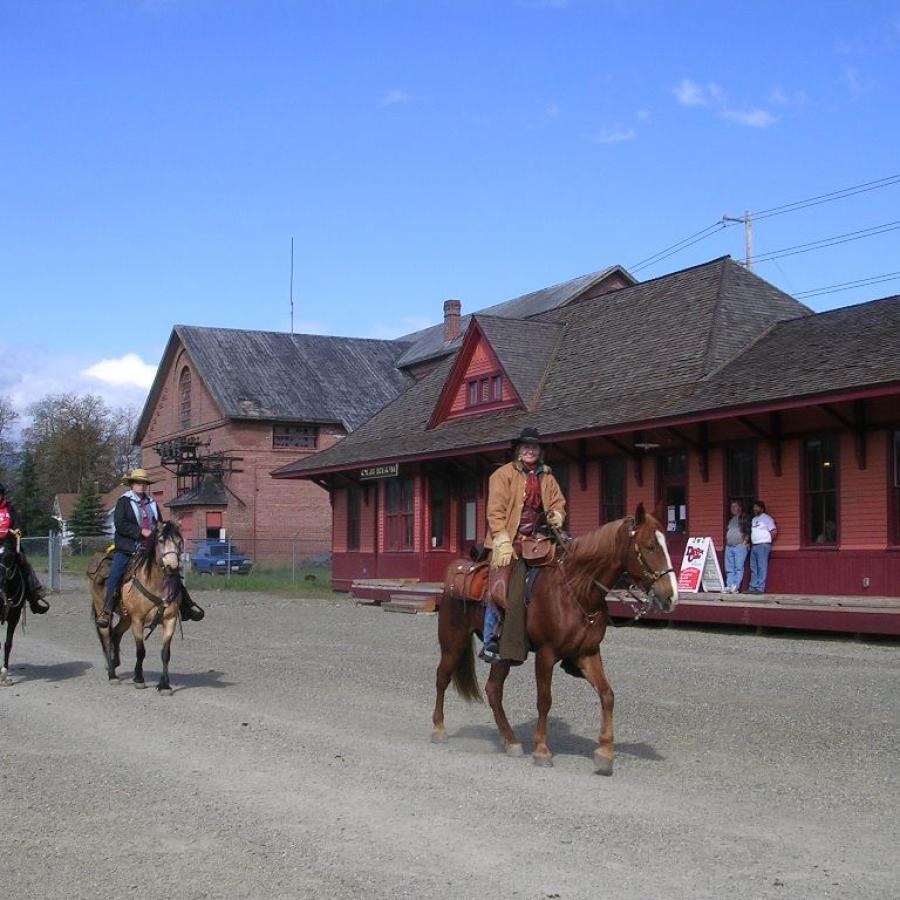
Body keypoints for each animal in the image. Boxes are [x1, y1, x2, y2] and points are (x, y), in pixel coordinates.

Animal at [89, 516, 185, 692]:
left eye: (179, 541)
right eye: (161, 540)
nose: (172, 567)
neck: (156, 584)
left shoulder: (170, 620)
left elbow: (165, 653)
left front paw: (164, 685)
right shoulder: (138, 620)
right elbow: (141, 651)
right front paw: (139, 679)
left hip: (126, 617)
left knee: (116, 633)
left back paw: (115, 663)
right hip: (102, 611)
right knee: (106, 637)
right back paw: (112, 674)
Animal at [432, 506, 680, 772]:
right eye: (650, 546)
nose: (671, 597)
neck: (575, 590)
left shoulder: (587, 653)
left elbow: (607, 695)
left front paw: (604, 752)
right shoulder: (546, 654)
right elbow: (544, 700)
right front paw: (542, 750)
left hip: (504, 654)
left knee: (493, 690)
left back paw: (510, 740)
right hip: (454, 641)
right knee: (443, 677)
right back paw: (439, 729)